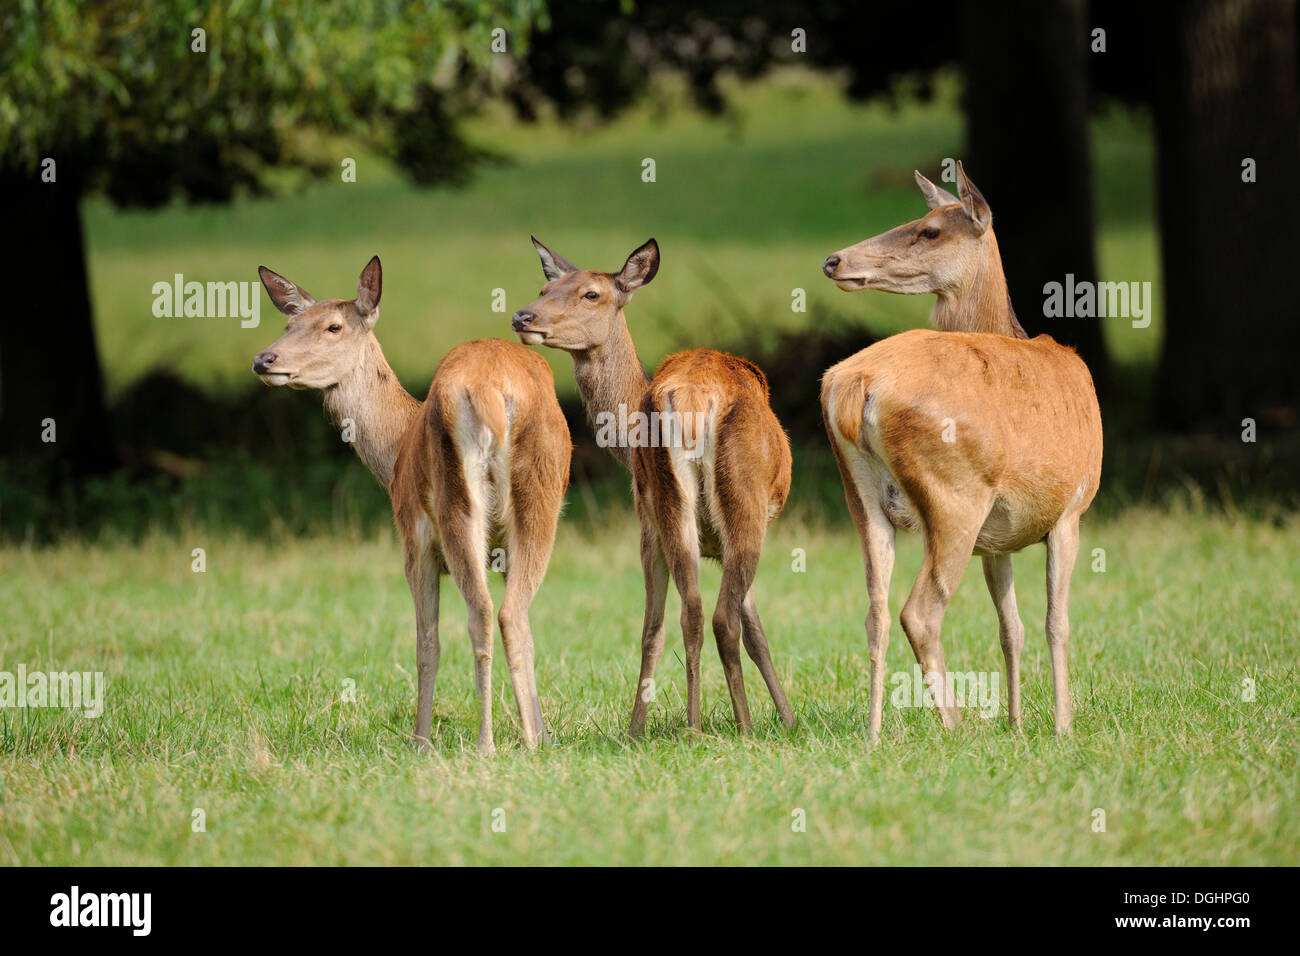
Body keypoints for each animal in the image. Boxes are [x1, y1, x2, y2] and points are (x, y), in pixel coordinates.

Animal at [251, 256, 570, 755]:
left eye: (333, 326)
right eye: (289, 323)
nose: (264, 359)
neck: (395, 447)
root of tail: (491, 392)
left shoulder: (413, 538)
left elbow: (426, 642)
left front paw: (420, 741)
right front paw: (539, 729)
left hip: (456, 503)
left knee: (482, 614)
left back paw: (484, 743)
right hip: (540, 501)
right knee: (514, 615)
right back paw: (533, 741)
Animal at [510, 237, 796, 737]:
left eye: (590, 294)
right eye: (545, 288)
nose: (523, 316)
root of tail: (693, 397)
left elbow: (655, 628)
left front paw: (635, 729)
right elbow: (755, 626)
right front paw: (788, 717)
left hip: (672, 503)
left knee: (690, 612)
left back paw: (689, 724)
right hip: (732, 501)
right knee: (718, 617)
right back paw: (735, 725)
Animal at [819, 162, 1102, 742]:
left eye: (928, 229)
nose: (833, 260)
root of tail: (854, 385)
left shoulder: (999, 537)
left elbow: (1011, 626)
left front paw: (1017, 722)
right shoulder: (1071, 507)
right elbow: (1056, 622)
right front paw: (1062, 726)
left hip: (862, 497)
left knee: (876, 611)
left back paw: (874, 733)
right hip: (955, 497)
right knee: (920, 612)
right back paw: (955, 726)